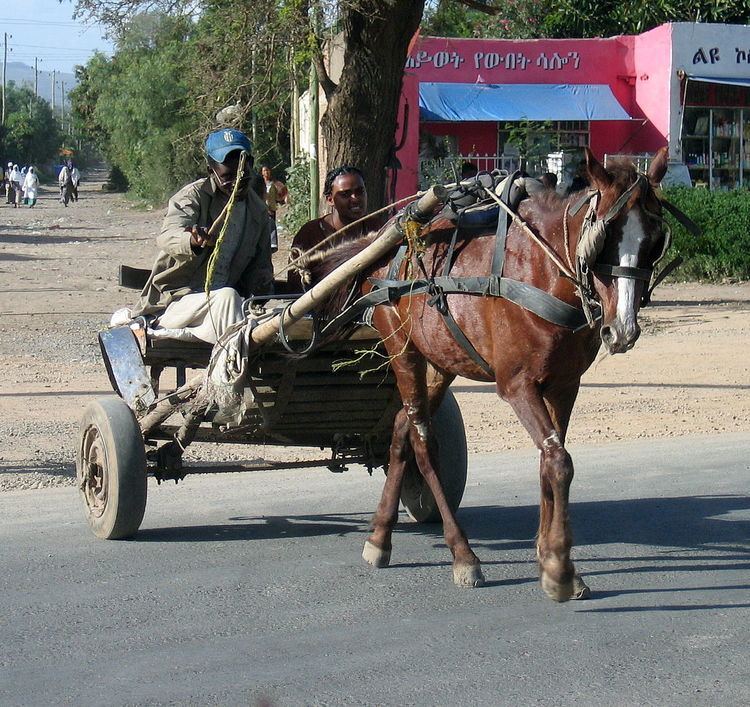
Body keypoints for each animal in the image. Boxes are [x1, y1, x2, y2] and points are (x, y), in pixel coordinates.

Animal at [304, 149, 668, 604]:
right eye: (606, 236)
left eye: (653, 239)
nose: (623, 329)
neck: (542, 270)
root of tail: (390, 246)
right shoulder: (517, 385)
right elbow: (559, 461)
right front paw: (560, 568)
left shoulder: (565, 386)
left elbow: (550, 459)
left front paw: (549, 555)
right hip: (403, 350)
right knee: (422, 442)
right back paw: (463, 555)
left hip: (439, 361)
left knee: (402, 429)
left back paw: (380, 537)